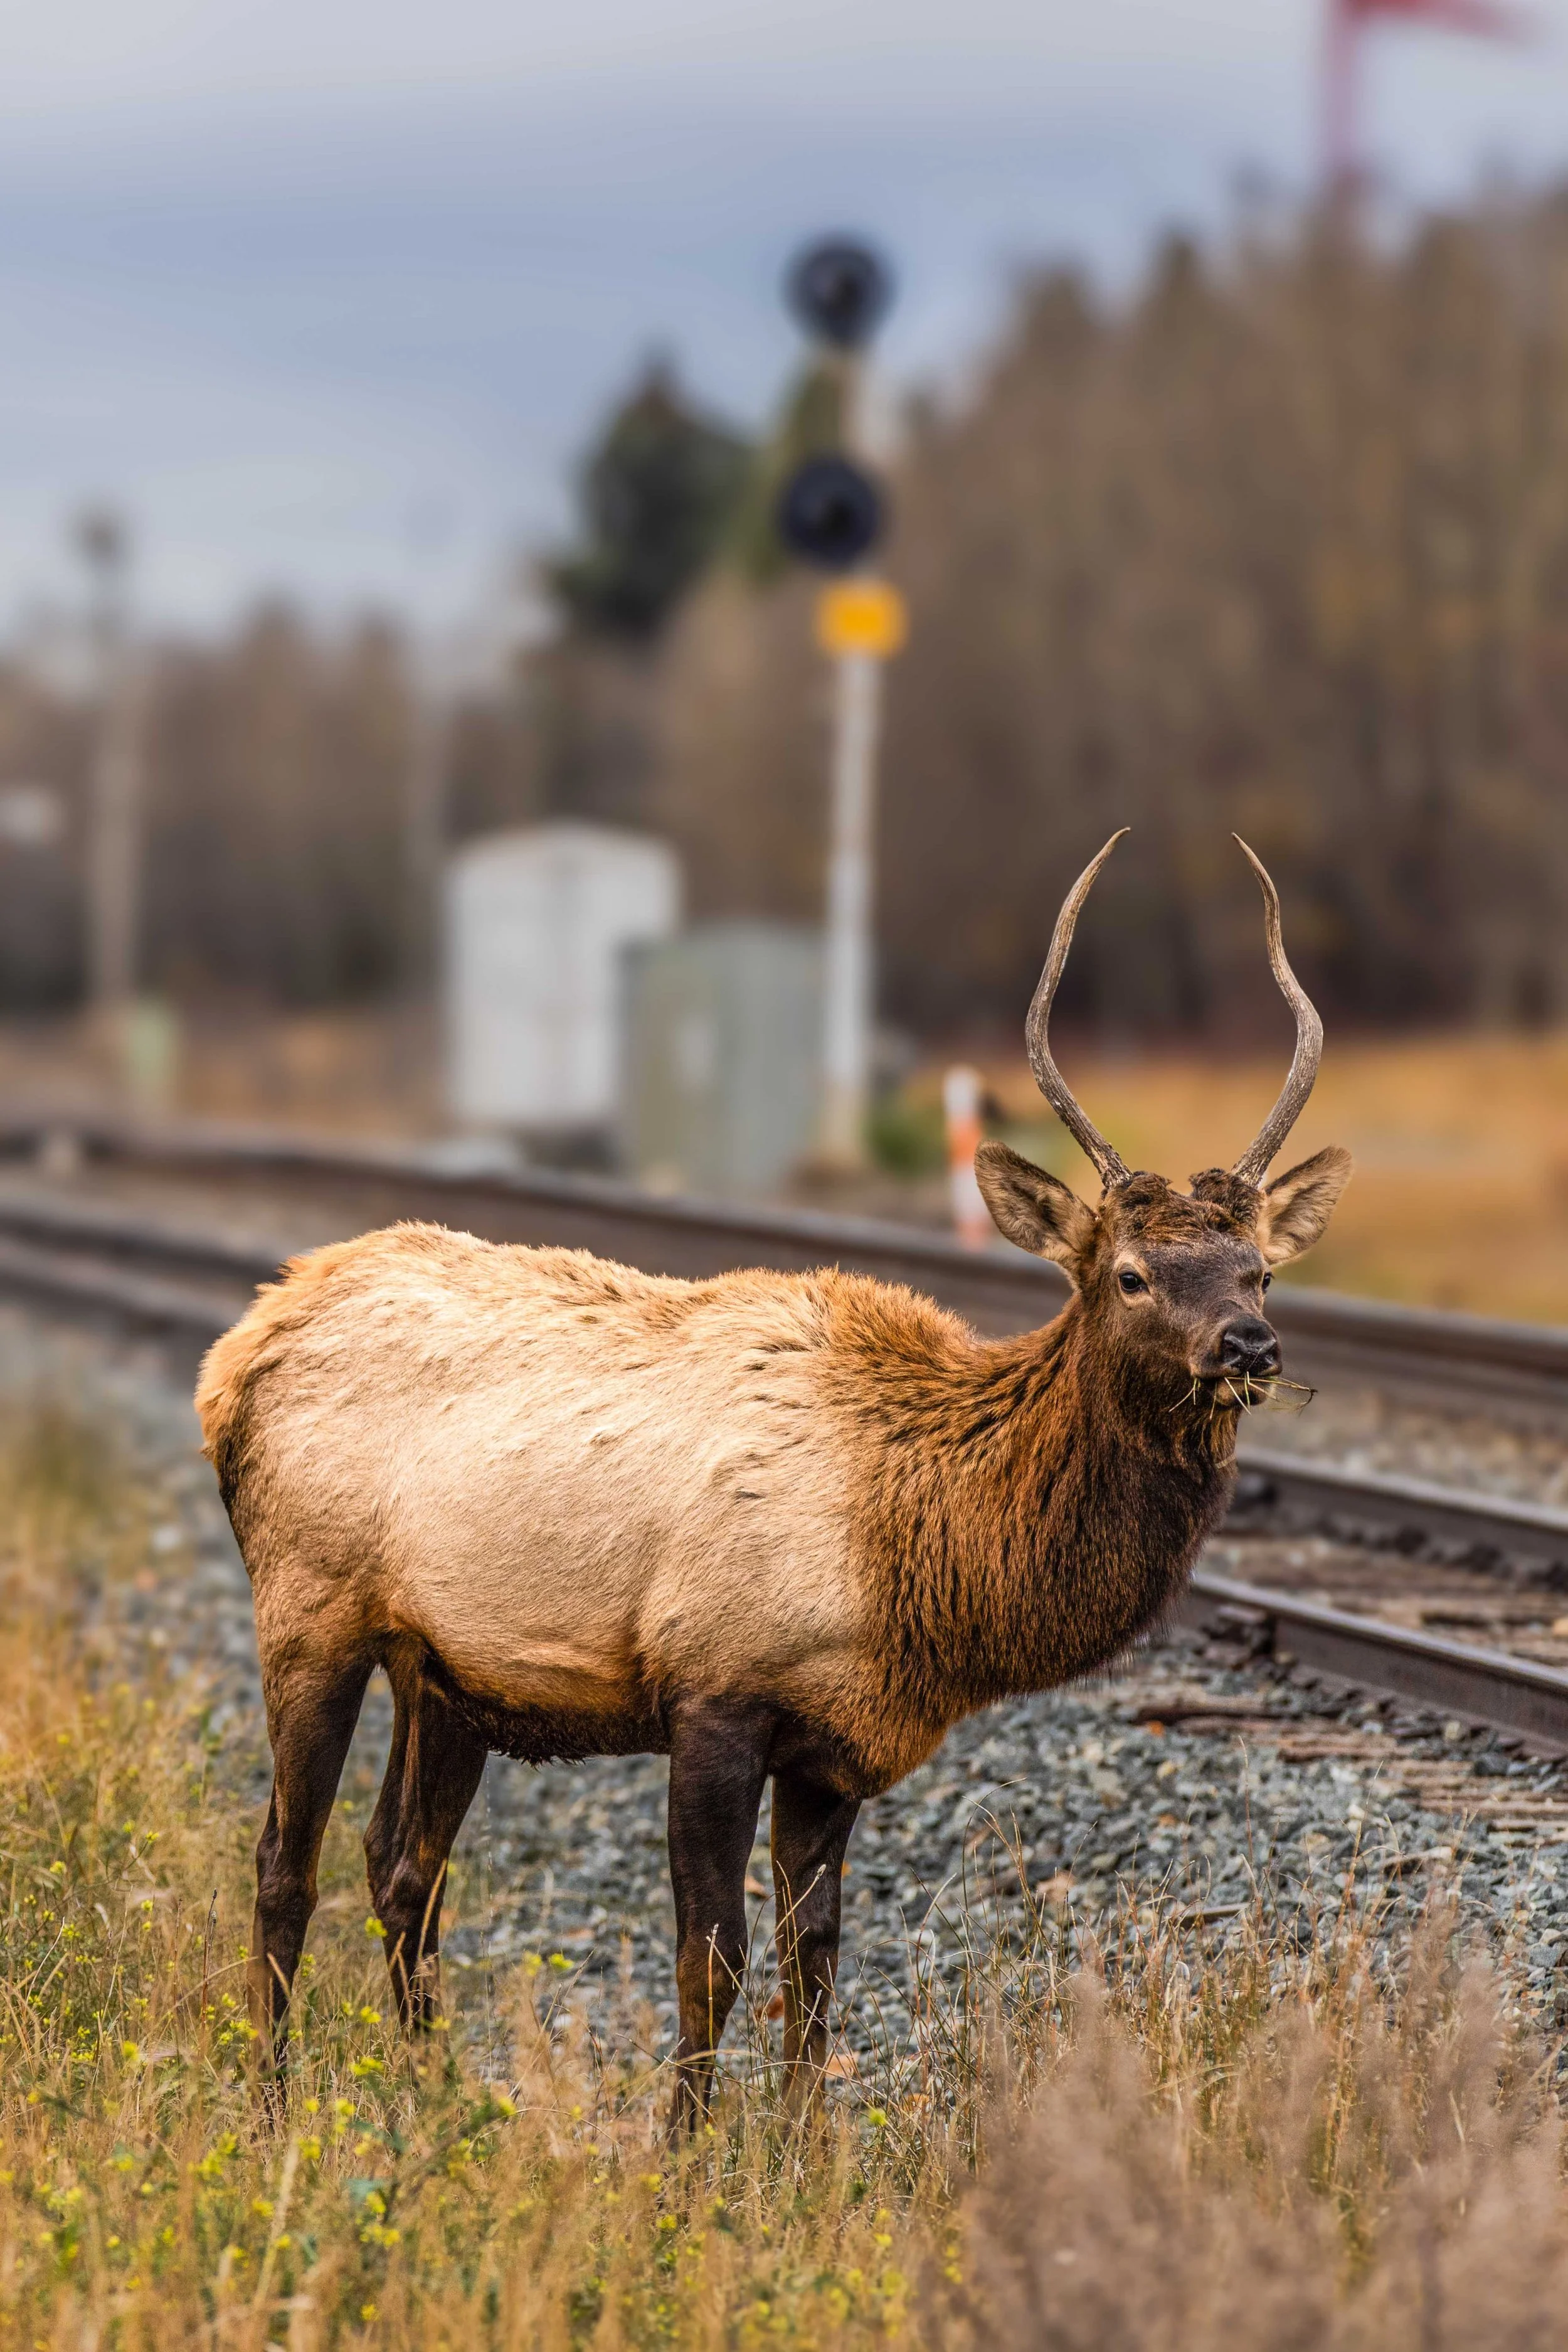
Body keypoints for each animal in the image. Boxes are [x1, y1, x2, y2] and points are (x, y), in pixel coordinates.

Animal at [196, 831, 1351, 2130]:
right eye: (1133, 1273)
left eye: (1259, 1268)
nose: (1248, 1346)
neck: (917, 1558)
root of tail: (232, 1359)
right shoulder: (716, 1688)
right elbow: (714, 1950)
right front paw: (688, 2150)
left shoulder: (835, 1740)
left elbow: (820, 1952)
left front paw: (800, 2147)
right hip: (310, 1607)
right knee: (283, 1858)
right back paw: (274, 2107)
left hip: (443, 1664)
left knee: (403, 1862)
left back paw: (428, 2090)